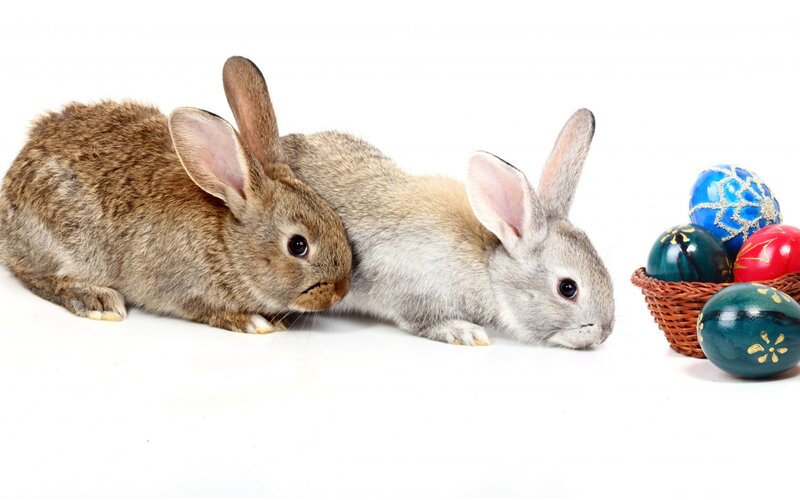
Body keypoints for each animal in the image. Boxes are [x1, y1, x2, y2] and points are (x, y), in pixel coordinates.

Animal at [0, 100, 352, 333]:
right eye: (298, 245)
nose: (341, 290)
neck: (228, 244)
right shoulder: (182, 289)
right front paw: (253, 321)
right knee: (36, 275)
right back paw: (96, 301)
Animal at [222, 56, 614, 347]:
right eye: (568, 288)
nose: (605, 332)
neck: (489, 266)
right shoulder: (412, 291)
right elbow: (423, 321)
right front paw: (464, 332)